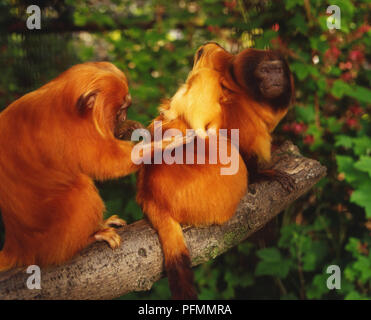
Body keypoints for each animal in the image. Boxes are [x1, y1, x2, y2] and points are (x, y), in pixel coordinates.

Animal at [137, 42, 296, 300]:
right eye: (265, 71)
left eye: (278, 70)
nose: (275, 78)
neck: (247, 97)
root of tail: (150, 195)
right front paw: (262, 174)